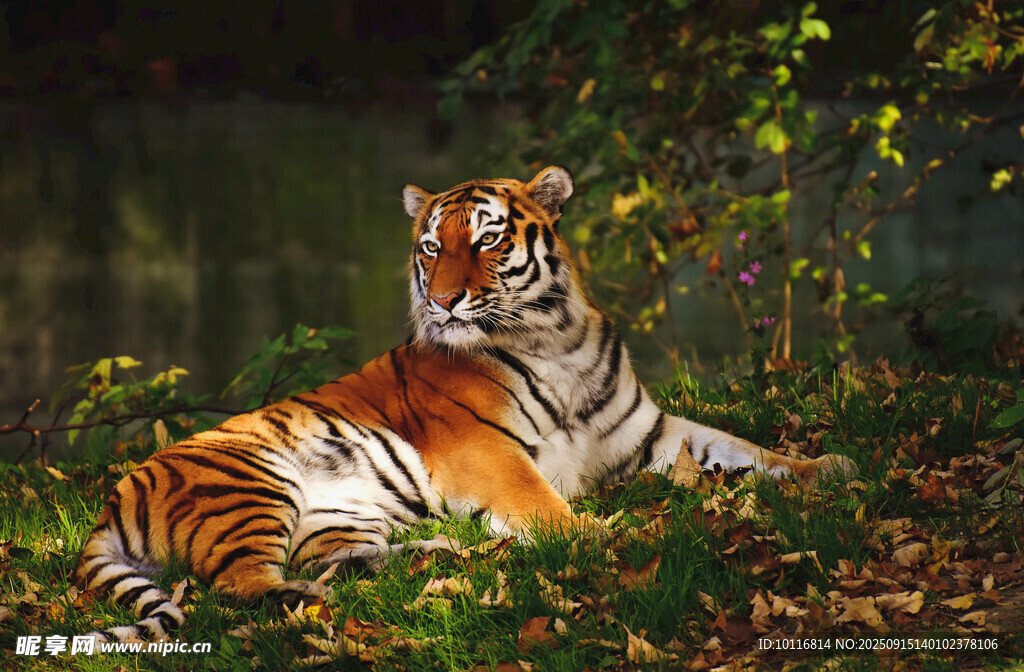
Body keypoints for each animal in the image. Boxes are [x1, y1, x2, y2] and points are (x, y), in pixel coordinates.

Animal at [73, 166, 855, 642]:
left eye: (486, 239)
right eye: (429, 247)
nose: (445, 300)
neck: (557, 338)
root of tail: (114, 496)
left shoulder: (647, 431)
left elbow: (740, 447)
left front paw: (829, 467)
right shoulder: (486, 449)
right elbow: (543, 503)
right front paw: (603, 534)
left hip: (341, 512)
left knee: (337, 558)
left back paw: (446, 553)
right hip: (251, 485)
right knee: (240, 586)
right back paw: (319, 602)